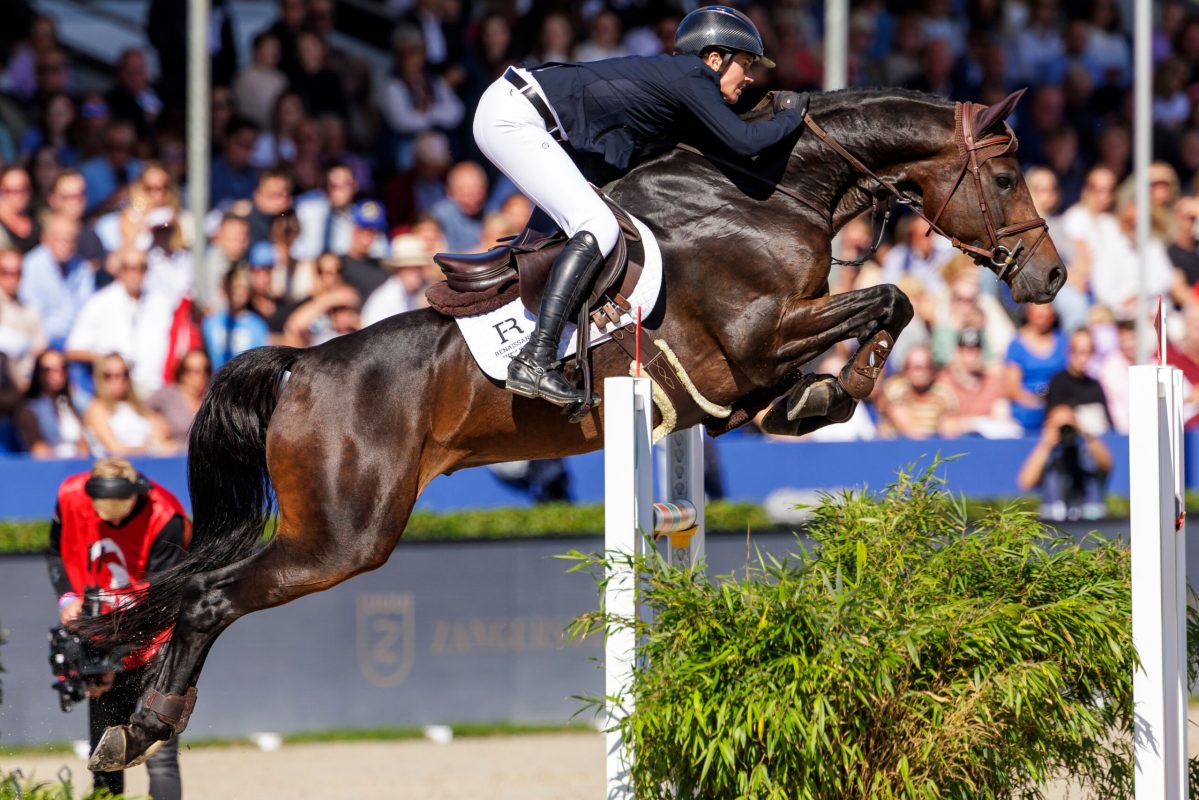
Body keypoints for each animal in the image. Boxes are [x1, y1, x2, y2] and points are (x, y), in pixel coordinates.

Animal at [86, 87, 1065, 770]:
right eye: (1005, 177)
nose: (1050, 277)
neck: (769, 193)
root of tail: (301, 366)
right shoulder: (756, 335)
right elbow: (891, 297)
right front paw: (841, 390)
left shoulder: (740, 375)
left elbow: (848, 334)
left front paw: (813, 402)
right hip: (341, 536)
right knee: (208, 600)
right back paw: (142, 728)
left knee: (195, 593)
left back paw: (134, 725)